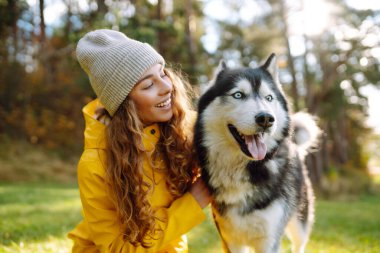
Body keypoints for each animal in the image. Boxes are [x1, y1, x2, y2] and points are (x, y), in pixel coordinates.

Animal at [194, 53, 320, 253]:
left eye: (269, 98)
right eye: (238, 94)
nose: (266, 119)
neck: (240, 169)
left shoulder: (269, 239)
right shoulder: (230, 239)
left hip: (300, 221)